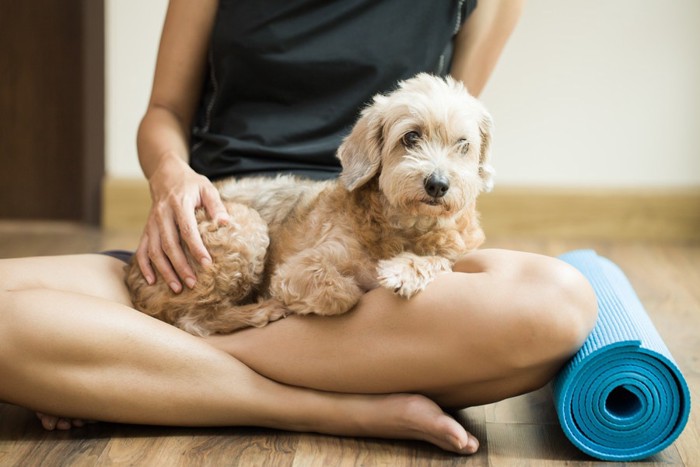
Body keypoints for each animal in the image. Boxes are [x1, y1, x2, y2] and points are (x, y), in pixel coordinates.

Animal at [124, 74, 492, 336]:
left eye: (463, 144)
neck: (404, 227)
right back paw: (262, 311)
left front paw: (405, 270)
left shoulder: (453, 250)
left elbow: (438, 260)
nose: (438, 184)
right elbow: (345, 294)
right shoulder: (296, 270)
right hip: (244, 231)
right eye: (411, 136)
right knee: (194, 320)